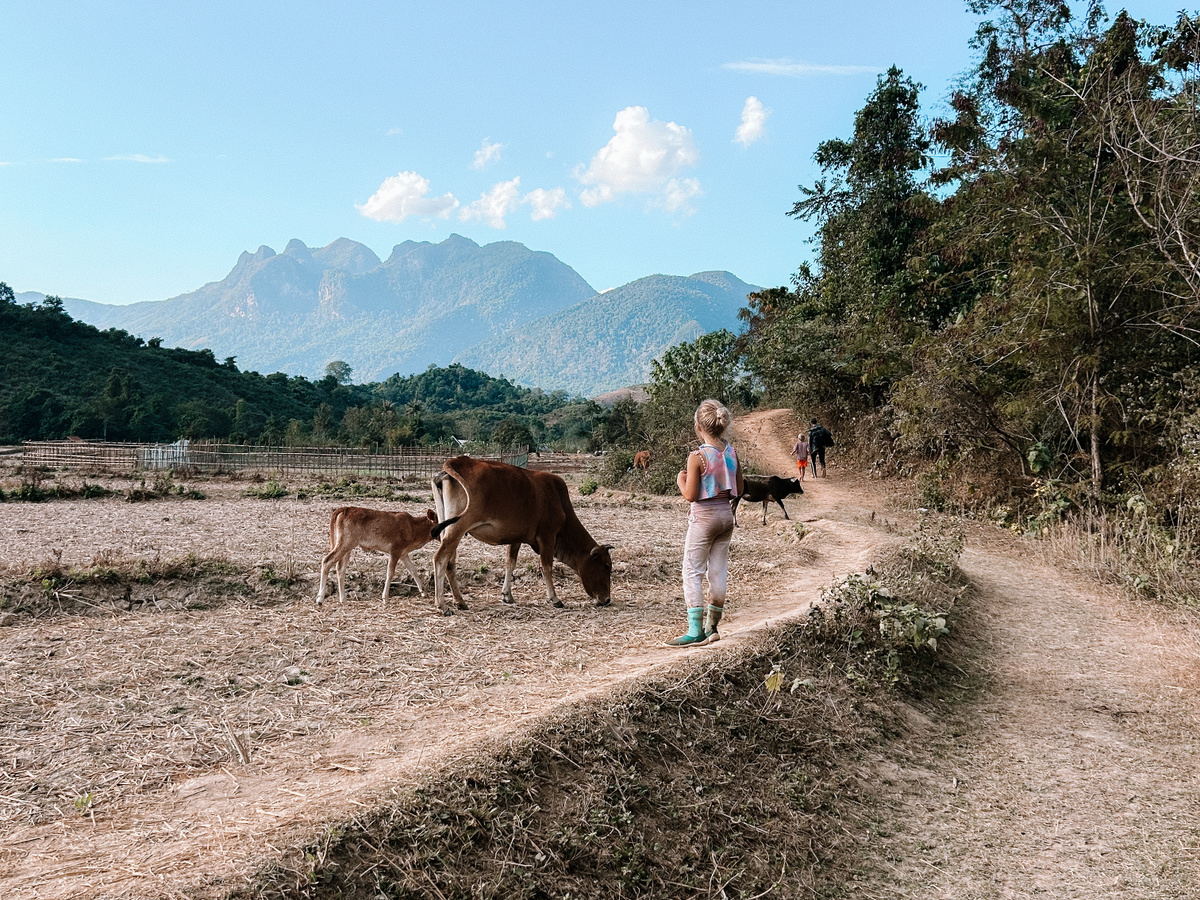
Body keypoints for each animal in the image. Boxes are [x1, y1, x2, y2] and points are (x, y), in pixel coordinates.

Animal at [432, 458, 614, 614]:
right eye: (606, 566)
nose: (607, 600)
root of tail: (456, 461)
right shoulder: (547, 536)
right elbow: (546, 567)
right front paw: (554, 598)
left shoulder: (516, 538)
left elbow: (510, 563)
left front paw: (507, 595)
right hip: (458, 527)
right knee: (440, 558)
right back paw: (442, 605)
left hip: (449, 528)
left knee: (450, 563)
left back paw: (460, 601)